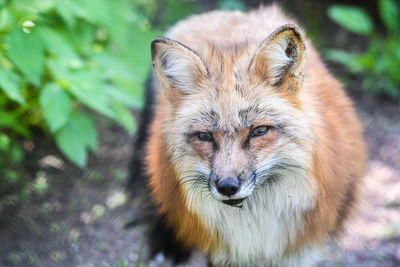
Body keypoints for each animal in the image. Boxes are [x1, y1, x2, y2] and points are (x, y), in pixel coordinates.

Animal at [130, 4, 368, 267]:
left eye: (259, 131)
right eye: (204, 136)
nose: (227, 186)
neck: (255, 227)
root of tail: (232, 13)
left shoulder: (298, 249)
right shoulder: (222, 252)